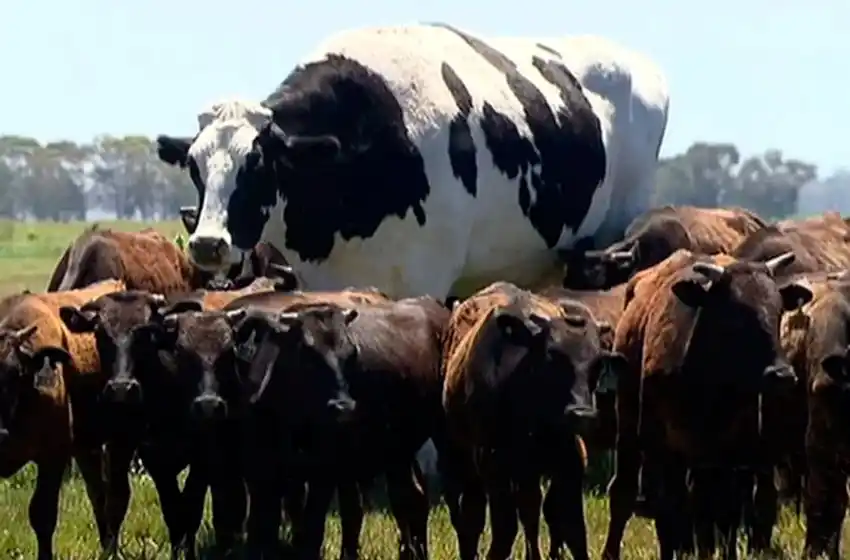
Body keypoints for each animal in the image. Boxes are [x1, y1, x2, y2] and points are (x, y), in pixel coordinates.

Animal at [0, 279, 125, 559]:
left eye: (16, 374)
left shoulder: (53, 456)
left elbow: (42, 515)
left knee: (115, 496)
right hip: (86, 447)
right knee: (98, 493)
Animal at [226, 296, 450, 558]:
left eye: (353, 354)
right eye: (306, 354)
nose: (343, 406)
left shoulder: (324, 472)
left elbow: (313, 526)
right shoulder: (262, 470)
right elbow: (263, 525)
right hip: (397, 452)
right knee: (409, 496)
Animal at [440, 281, 625, 560]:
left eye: (597, 364)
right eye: (551, 357)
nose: (581, 414)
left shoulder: (568, 460)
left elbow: (572, 527)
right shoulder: (493, 464)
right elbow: (504, 529)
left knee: (530, 509)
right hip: (464, 459)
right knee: (474, 517)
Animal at [601, 250, 812, 560]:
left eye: (777, 313)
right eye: (735, 317)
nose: (782, 375)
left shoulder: (730, 455)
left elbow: (723, 512)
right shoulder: (666, 446)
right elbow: (673, 507)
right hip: (629, 425)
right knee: (626, 492)